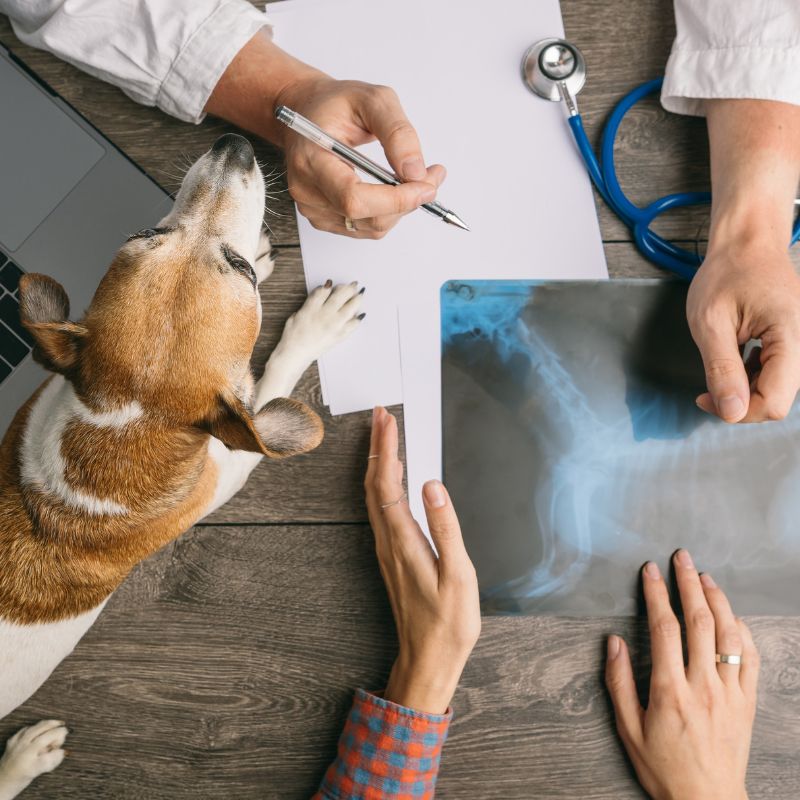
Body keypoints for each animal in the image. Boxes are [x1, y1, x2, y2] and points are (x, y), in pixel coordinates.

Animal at [0, 131, 360, 792]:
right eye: (239, 274)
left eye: (147, 231)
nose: (233, 145)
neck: (125, 424)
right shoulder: (231, 463)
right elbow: (269, 378)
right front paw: (315, 326)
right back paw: (24, 759)